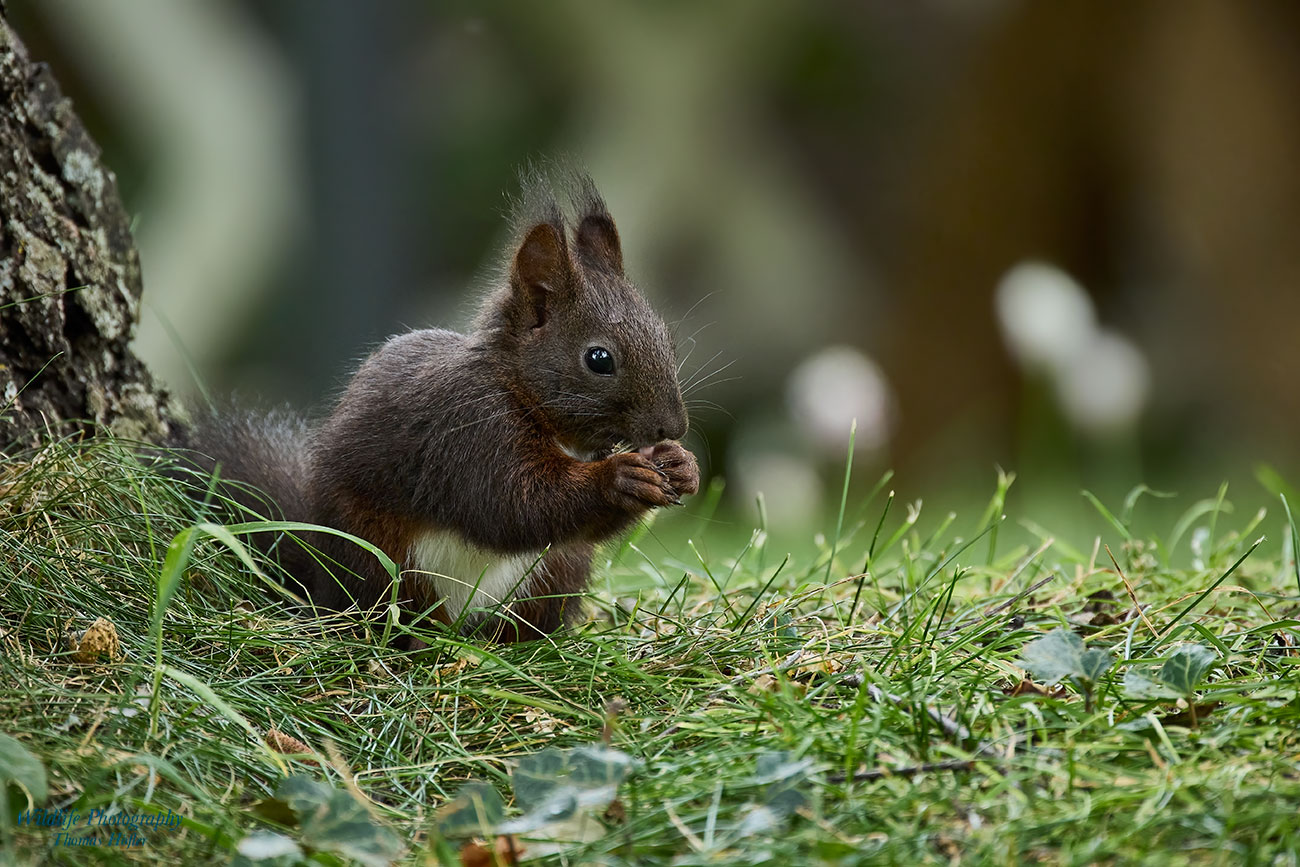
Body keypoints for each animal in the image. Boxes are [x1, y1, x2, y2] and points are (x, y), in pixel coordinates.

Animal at [180, 172, 702, 642]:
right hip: (381, 560)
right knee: (394, 618)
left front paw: (682, 465)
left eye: (666, 335)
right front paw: (622, 477)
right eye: (599, 359)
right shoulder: (470, 432)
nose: (673, 426)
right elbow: (515, 506)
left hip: (555, 571)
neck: (522, 394)